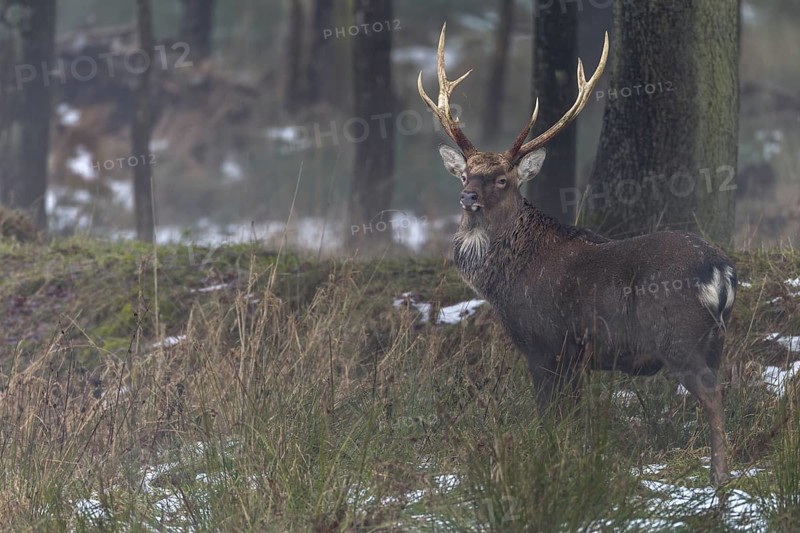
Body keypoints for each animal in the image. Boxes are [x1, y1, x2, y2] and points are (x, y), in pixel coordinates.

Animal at [418, 24, 736, 487]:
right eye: (465, 173)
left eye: (502, 179)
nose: (467, 196)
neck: (505, 280)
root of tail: (722, 272)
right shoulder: (576, 358)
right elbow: (571, 417)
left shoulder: (545, 344)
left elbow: (550, 418)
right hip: (715, 340)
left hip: (678, 337)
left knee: (712, 392)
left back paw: (719, 477)